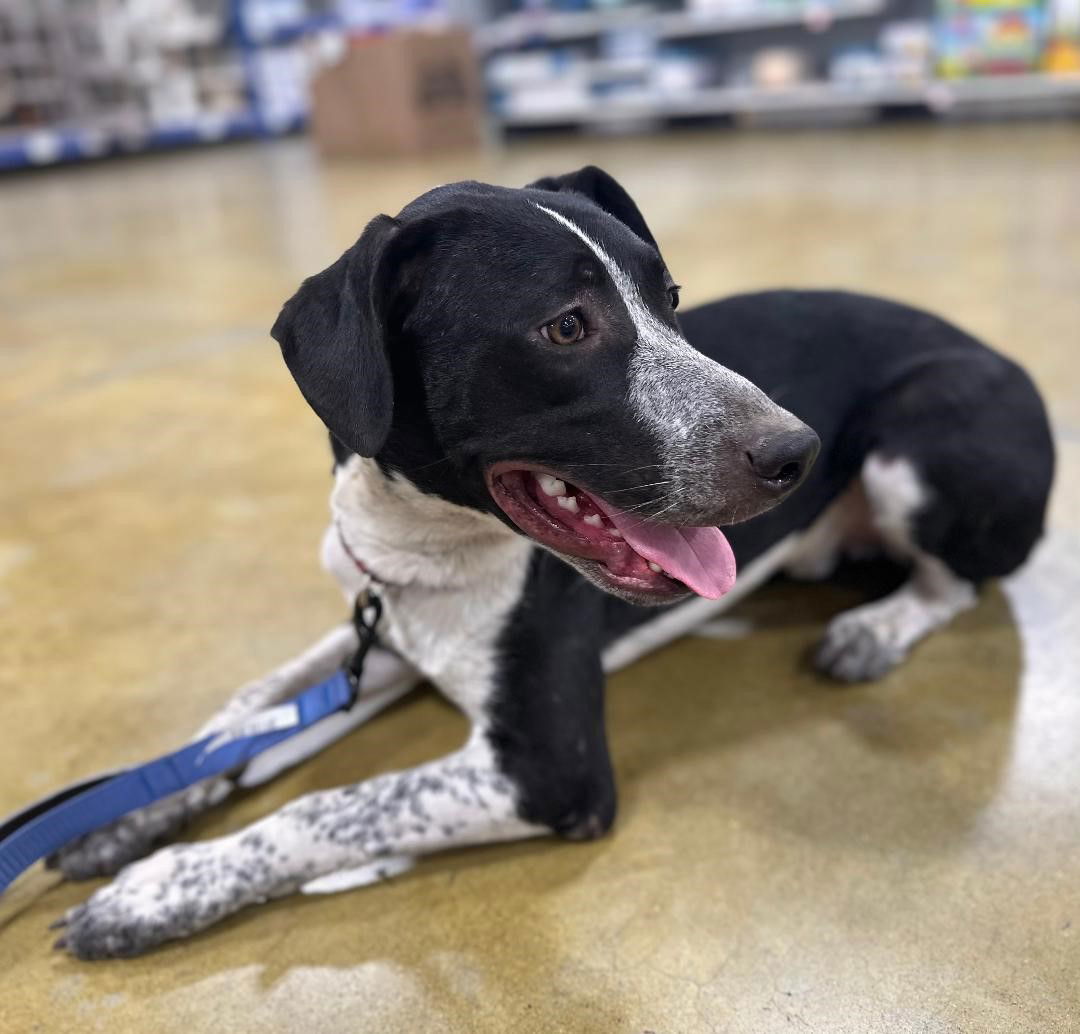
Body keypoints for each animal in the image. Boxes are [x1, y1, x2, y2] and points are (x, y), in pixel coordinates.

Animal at [46, 165, 1049, 955]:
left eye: (672, 301)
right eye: (567, 327)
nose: (796, 453)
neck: (425, 543)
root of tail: (1000, 354)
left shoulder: (546, 768)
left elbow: (322, 804)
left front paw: (154, 891)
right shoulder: (383, 635)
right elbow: (237, 718)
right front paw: (125, 818)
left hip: (918, 441)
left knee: (957, 581)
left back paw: (876, 627)